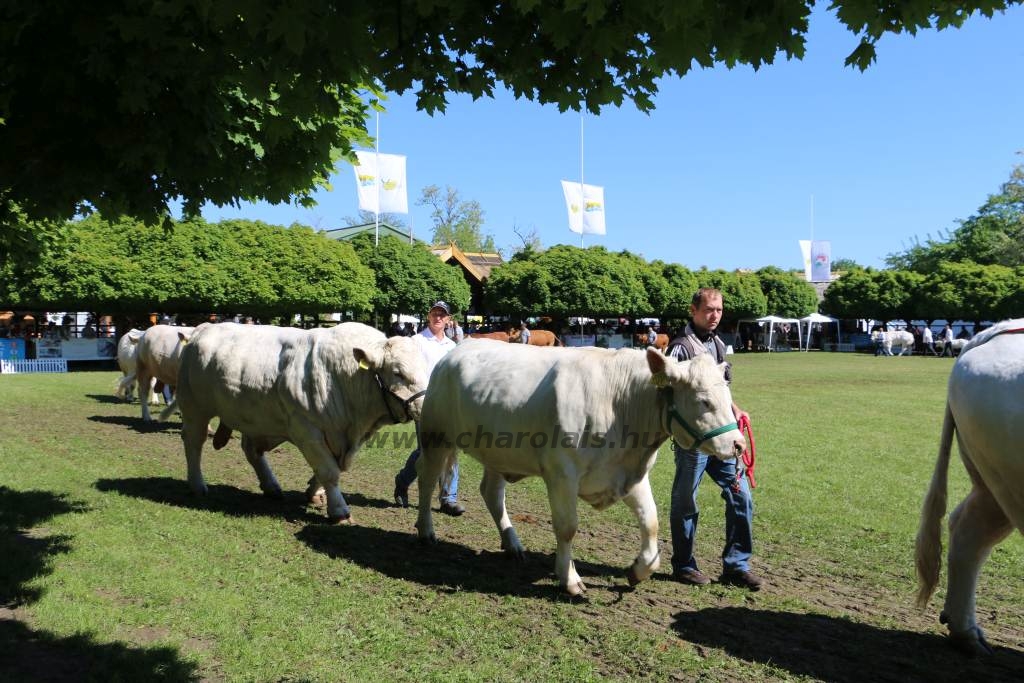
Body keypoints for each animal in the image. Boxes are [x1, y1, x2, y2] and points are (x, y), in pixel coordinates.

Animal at [176, 321, 428, 524]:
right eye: (398, 372)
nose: (427, 406)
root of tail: (200, 330)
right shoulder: (306, 429)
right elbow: (329, 470)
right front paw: (339, 511)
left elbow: (333, 468)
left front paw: (314, 492)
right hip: (194, 406)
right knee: (194, 441)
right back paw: (198, 485)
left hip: (255, 418)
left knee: (251, 450)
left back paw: (271, 486)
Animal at [415, 339, 745, 593]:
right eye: (704, 401)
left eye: (728, 396)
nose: (739, 444)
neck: (619, 403)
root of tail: (455, 351)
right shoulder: (562, 474)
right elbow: (567, 527)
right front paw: (569, 578)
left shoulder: (629, 475)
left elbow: (651, 522)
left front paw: (639, 570)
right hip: (435, 436)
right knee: (426, 481)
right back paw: (426, 532)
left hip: (497, 452)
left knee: (492, 494)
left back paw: (512, 544)